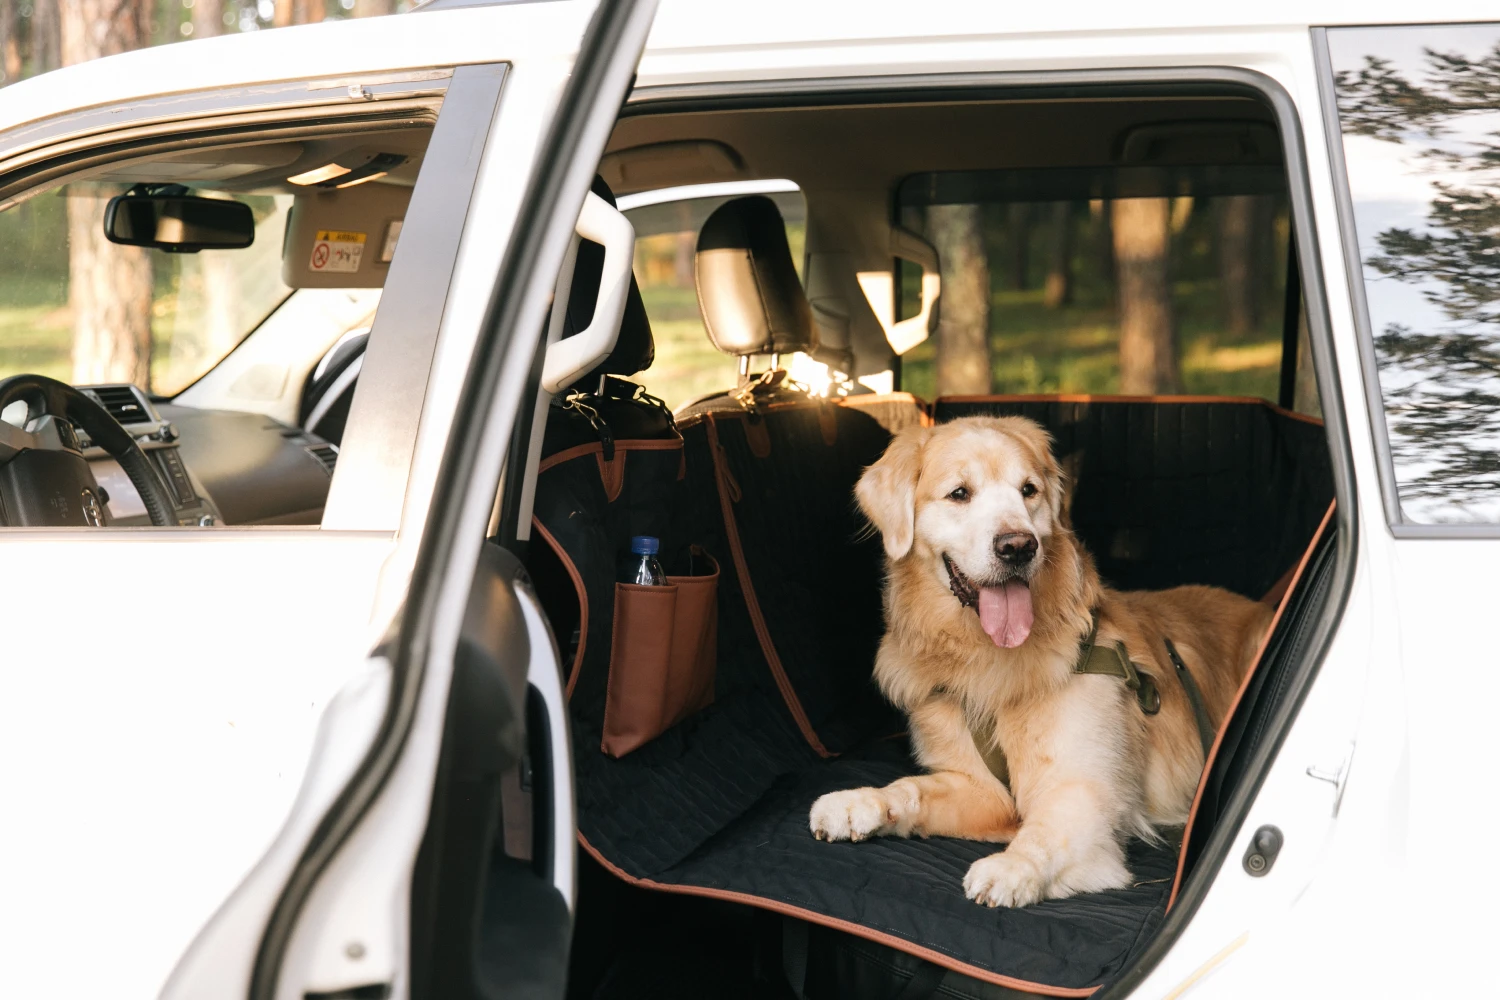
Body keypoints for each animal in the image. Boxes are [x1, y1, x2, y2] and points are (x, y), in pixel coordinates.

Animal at [816, 413, 1272, 905]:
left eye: (1028, 490)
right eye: (959, 493)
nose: (1018, 546)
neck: (987, 659)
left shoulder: (1084, 789)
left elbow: (1044, 832)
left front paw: (1013, 866)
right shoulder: (980, 789)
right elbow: (910, 789)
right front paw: (859, 801)